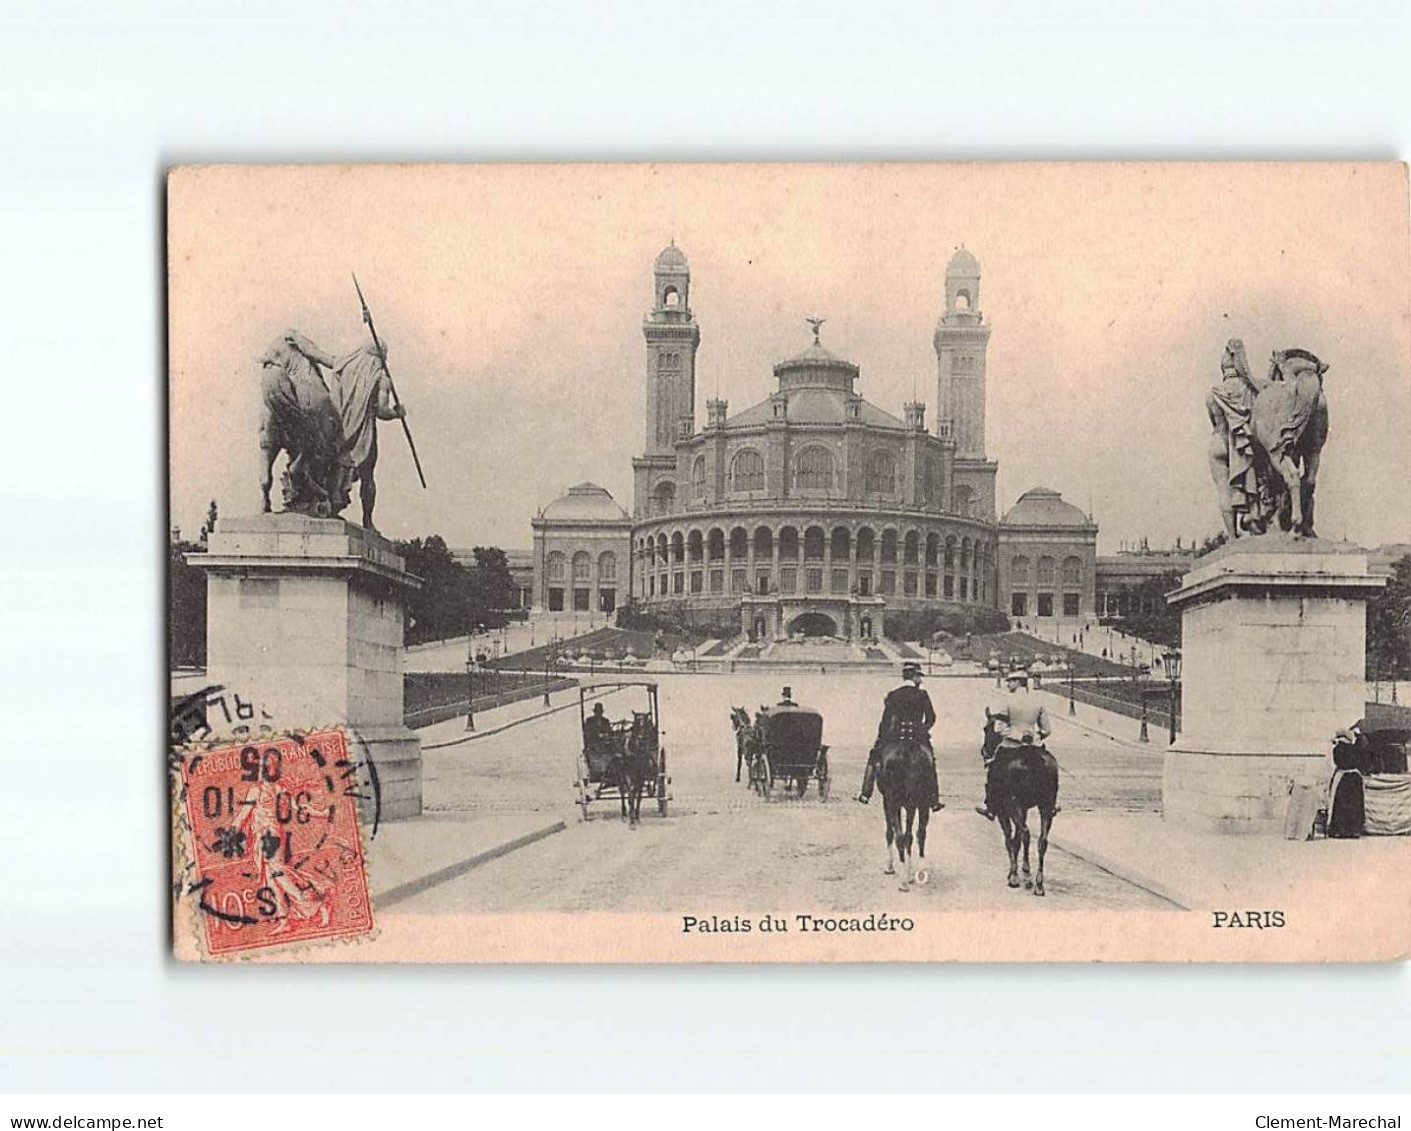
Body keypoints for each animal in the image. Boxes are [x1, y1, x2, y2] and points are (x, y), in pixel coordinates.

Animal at [578, 674, 677, 823]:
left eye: (647, 725)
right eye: (636, 724)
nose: (641, 739)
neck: (635, 751)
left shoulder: (641, 776)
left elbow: (637, 795)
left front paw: (636, 815)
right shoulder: (627, 776)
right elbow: (630, 794)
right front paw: (631, 816)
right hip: (618, 775)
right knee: (622, 792)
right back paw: (623, 813)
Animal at [874, 738, 931, 891]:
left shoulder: (888, 802)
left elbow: (890, 832)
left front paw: (890, 867)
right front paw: (910, 873)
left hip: (896, 803)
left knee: (901, 837)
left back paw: (903, 882)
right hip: (922, 803)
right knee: (919, 834)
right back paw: (918, 872)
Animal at [987, 719, 1055, 896]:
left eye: (986, 729)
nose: (984, 751)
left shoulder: (1005, 810)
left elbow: (1009, 839)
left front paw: (1013, 874)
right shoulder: (1022, 809)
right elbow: (1015, 839)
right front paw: (1019, 871)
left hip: (1013, 806)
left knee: (1025, 834)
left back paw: (1022, 877)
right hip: (1046, 805)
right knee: (1042, 840)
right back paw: (1038, 884)